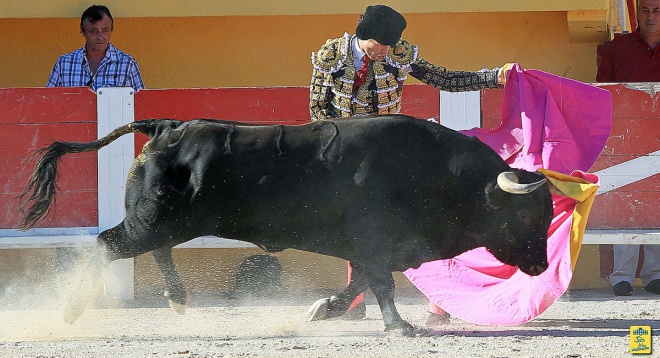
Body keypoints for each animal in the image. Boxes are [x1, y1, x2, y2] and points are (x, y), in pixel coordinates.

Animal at [15, 115, 556, 336]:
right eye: (527, 214)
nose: (539, 267)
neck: (436, 174)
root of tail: (167, 126)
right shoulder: (375, 241)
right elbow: (380, 283)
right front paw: (400, 326)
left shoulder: (370, 248)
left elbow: (361, 281)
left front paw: (324, 310)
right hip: (150, 221)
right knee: (106, 244)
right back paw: (71, 309)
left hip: (160, 222)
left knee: (150, 248)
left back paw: (178, 298)